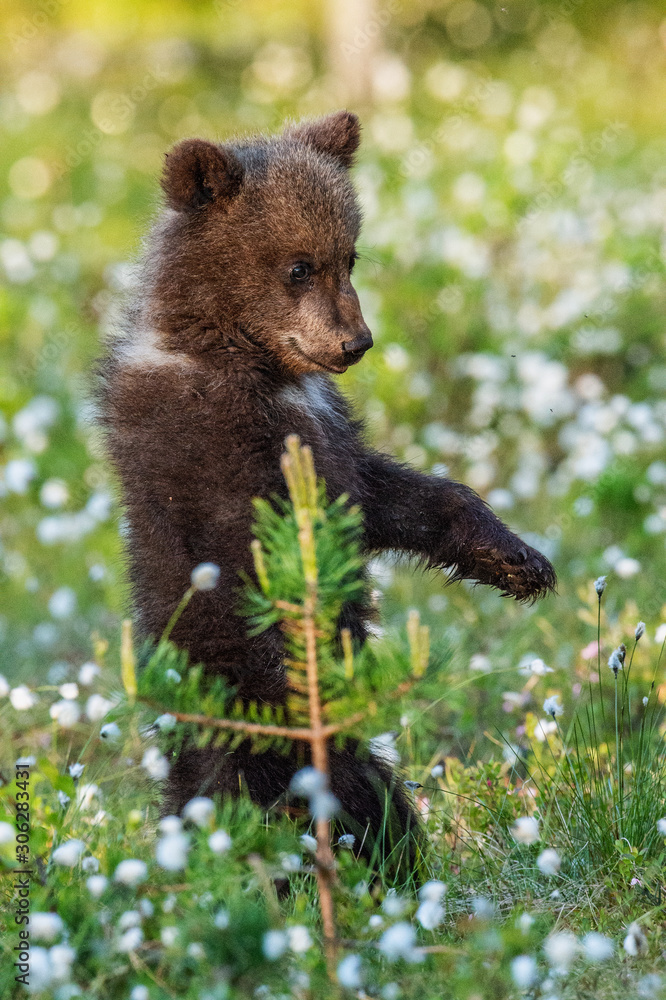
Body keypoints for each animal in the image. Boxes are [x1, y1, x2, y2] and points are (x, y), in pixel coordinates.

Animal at [98, 110, 555, 865]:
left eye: (350, 256)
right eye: (298, 266)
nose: (355, 341)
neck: (247, 357)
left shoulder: (325, 432)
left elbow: (397, 494)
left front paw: (520, 561)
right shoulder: (223, 450)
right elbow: (310, 524)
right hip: (263, 714)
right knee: (348, 788)